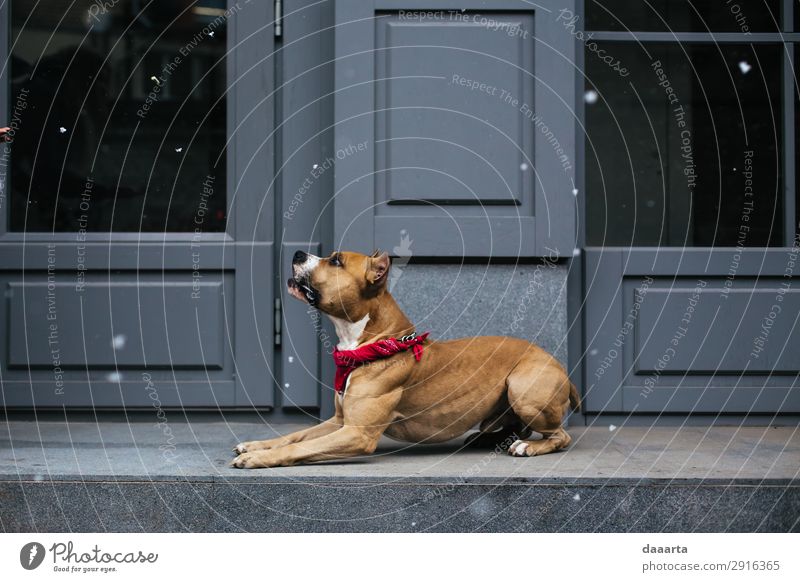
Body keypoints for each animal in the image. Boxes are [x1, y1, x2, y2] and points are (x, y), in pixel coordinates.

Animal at [233, 251, 580, 470]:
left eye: (336, 260)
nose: (296, 253)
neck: (373, 344)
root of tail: (559, 366)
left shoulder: (356, 432)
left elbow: (299, 446)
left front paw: (258, 459)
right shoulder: (339, 421)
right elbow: (294, 435)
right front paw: (257, 445)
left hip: (523, 388)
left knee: (559, 436)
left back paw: (529, 447)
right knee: (517, 429)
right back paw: (485, 439)